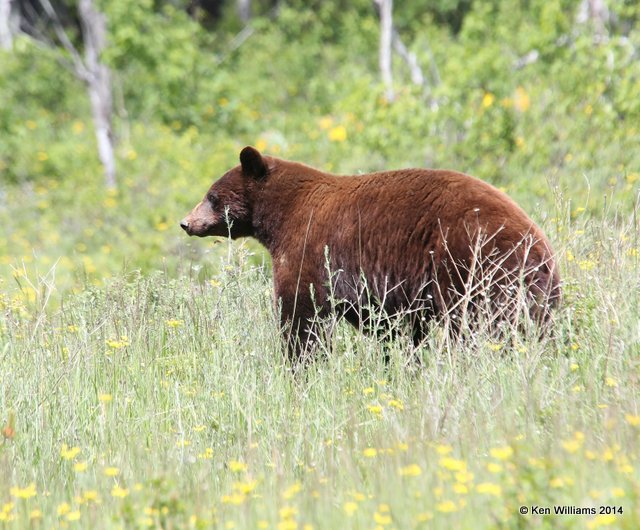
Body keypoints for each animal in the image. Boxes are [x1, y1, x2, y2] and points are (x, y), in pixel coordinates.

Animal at [180, 146, 560, 356]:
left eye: (212, 196)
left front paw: (300, 362)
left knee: (476, 325)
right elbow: (396, 329)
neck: (281, 212)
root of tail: (539, 249)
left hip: (469, 266)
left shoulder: (308, 246)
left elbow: (300, 312)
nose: (186, 222)